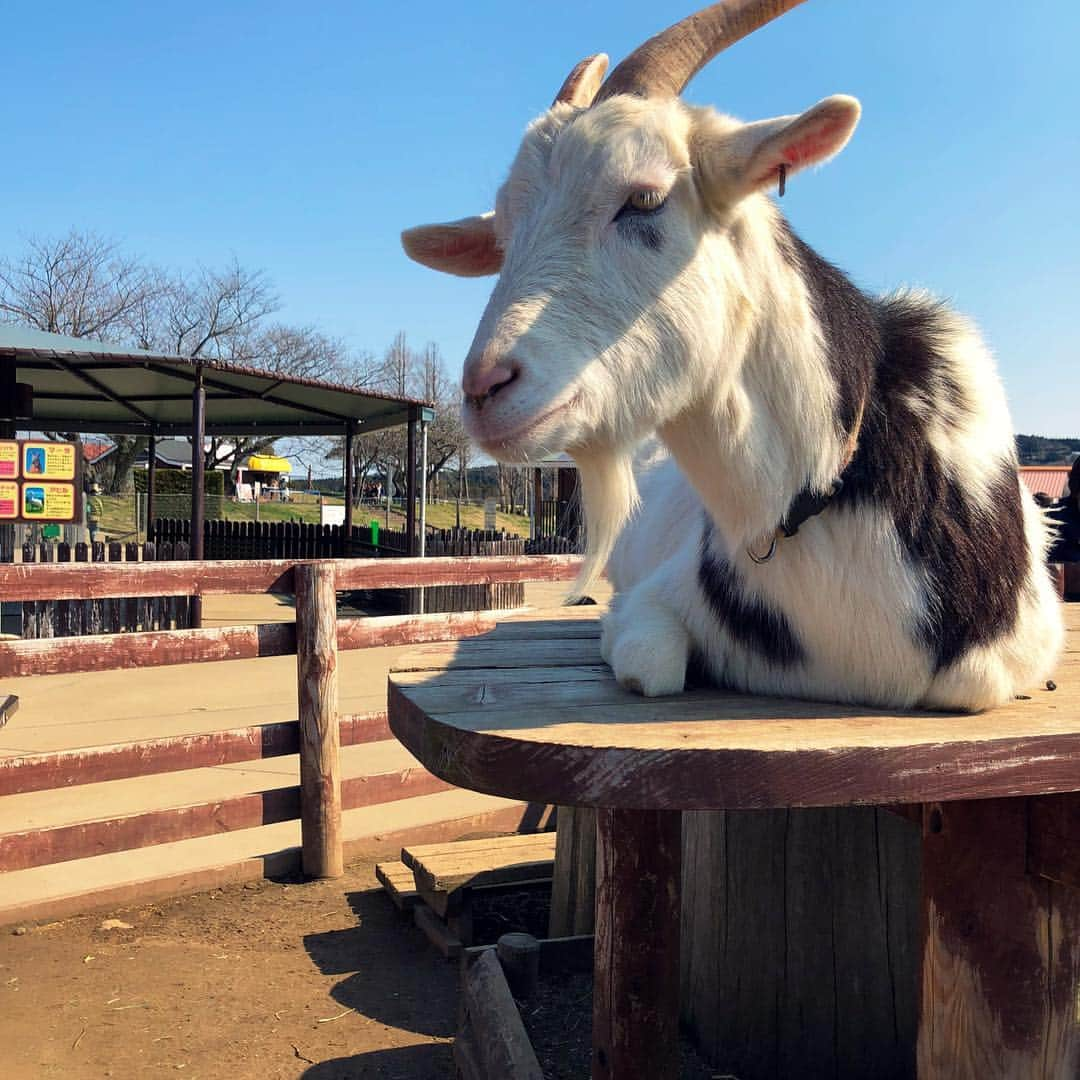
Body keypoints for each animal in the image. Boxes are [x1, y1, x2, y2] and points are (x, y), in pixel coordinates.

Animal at [401, 0, 1058, 712]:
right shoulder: (651, 598)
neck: (827, 480)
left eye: (645, 198)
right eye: (503, 234)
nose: (484, 388)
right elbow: (651, 664)